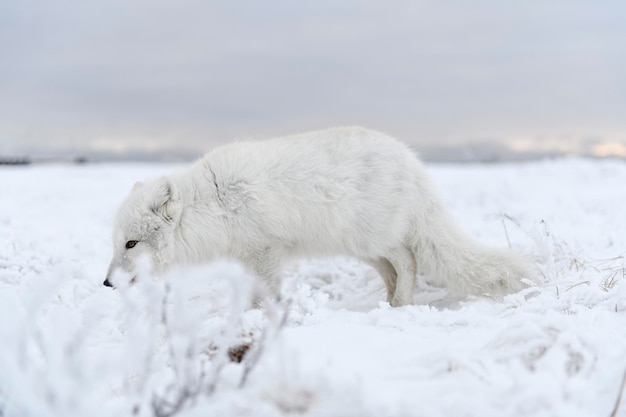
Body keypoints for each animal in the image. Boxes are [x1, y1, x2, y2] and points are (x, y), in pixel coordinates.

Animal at [103, 125, 532, 304]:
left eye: (131, 243)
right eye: (118, 244)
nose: (106, 283)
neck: (215, 203)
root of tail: (412, 163)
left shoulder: (266, 251)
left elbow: (265, 292)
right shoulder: (246, 256)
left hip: (372, 238)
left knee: (408, 260)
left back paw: (401, 304)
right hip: (362, 248)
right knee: (392, 269)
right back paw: (388, 302)